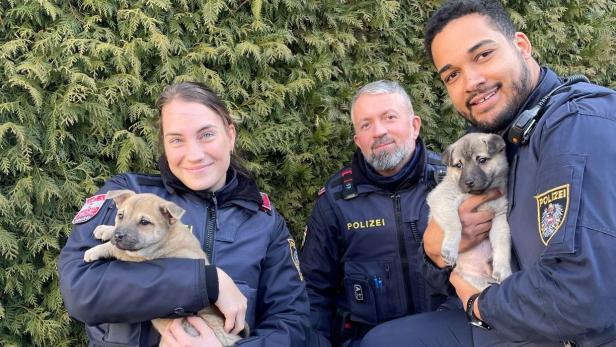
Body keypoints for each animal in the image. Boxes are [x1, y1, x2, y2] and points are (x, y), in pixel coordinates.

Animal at [83, 190, 247, 347]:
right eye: (121, 215)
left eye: (144, 222)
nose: (118, 236)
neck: (167, 235)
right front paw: (106, 230)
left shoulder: (141, 258)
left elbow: (117, 249)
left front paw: (93, 251)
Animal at [428, 133, 510, 290]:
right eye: (459, 165)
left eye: (482, 160)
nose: (468, 182)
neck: (477, 194)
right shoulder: (442, 199)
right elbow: (455, 224)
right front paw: (450, 249)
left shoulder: (499, 216)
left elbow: (503, 244)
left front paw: (503, 269)